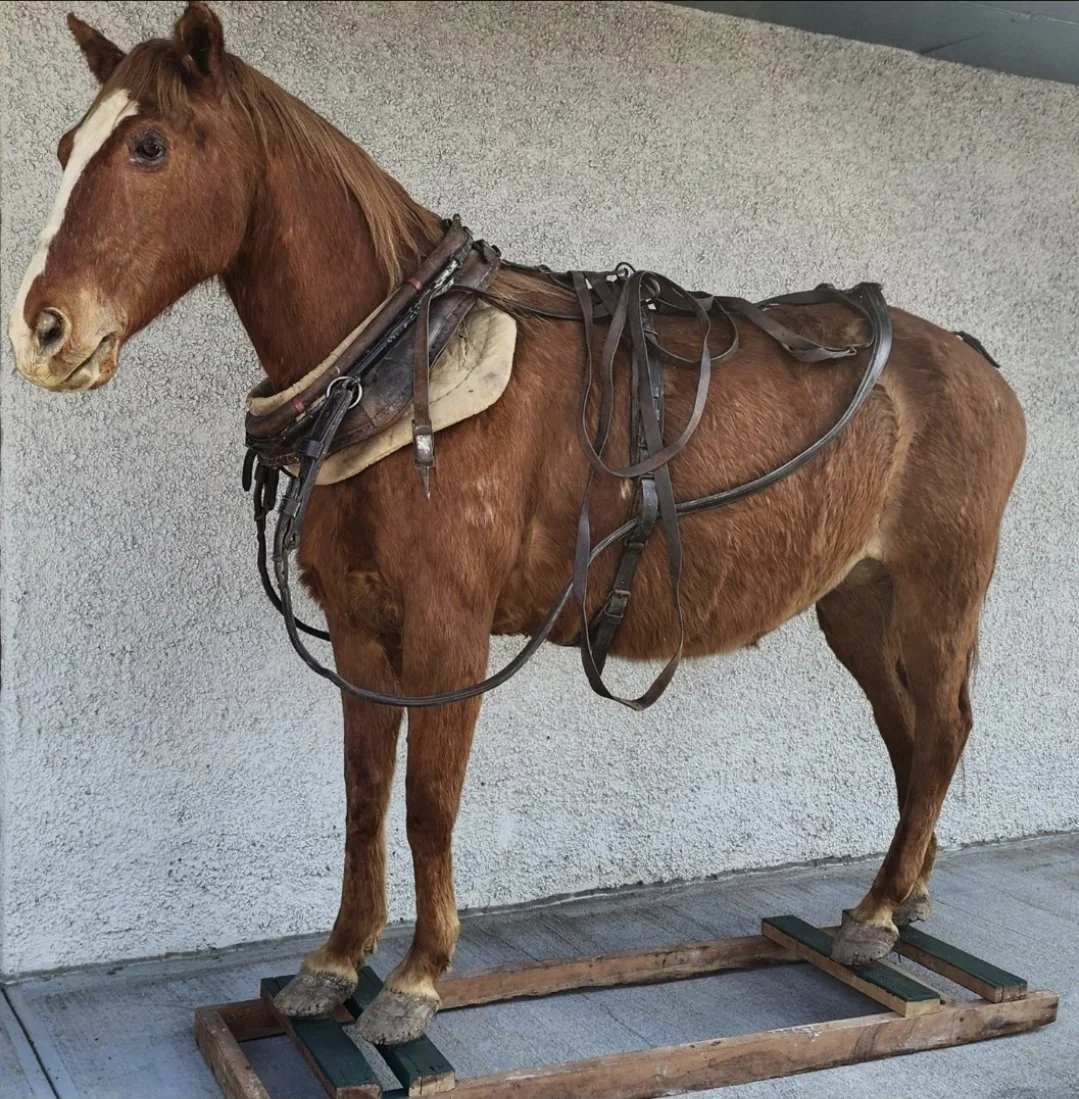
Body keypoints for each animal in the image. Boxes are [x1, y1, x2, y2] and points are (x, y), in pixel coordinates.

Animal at [9, 3, 1026, 1045]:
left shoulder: (448, 633)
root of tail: (973, 361)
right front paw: (335, 963)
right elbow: (363, 793)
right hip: (857, 602)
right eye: (65, 146)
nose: (41, 331)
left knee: (942, 729)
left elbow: (428, 803)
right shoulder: (361, 630)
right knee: (909, 732)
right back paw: (901, 900)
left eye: (149, 145)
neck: (402, 366)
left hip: (936, 593)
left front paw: (416, 978)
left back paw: (875, 913)